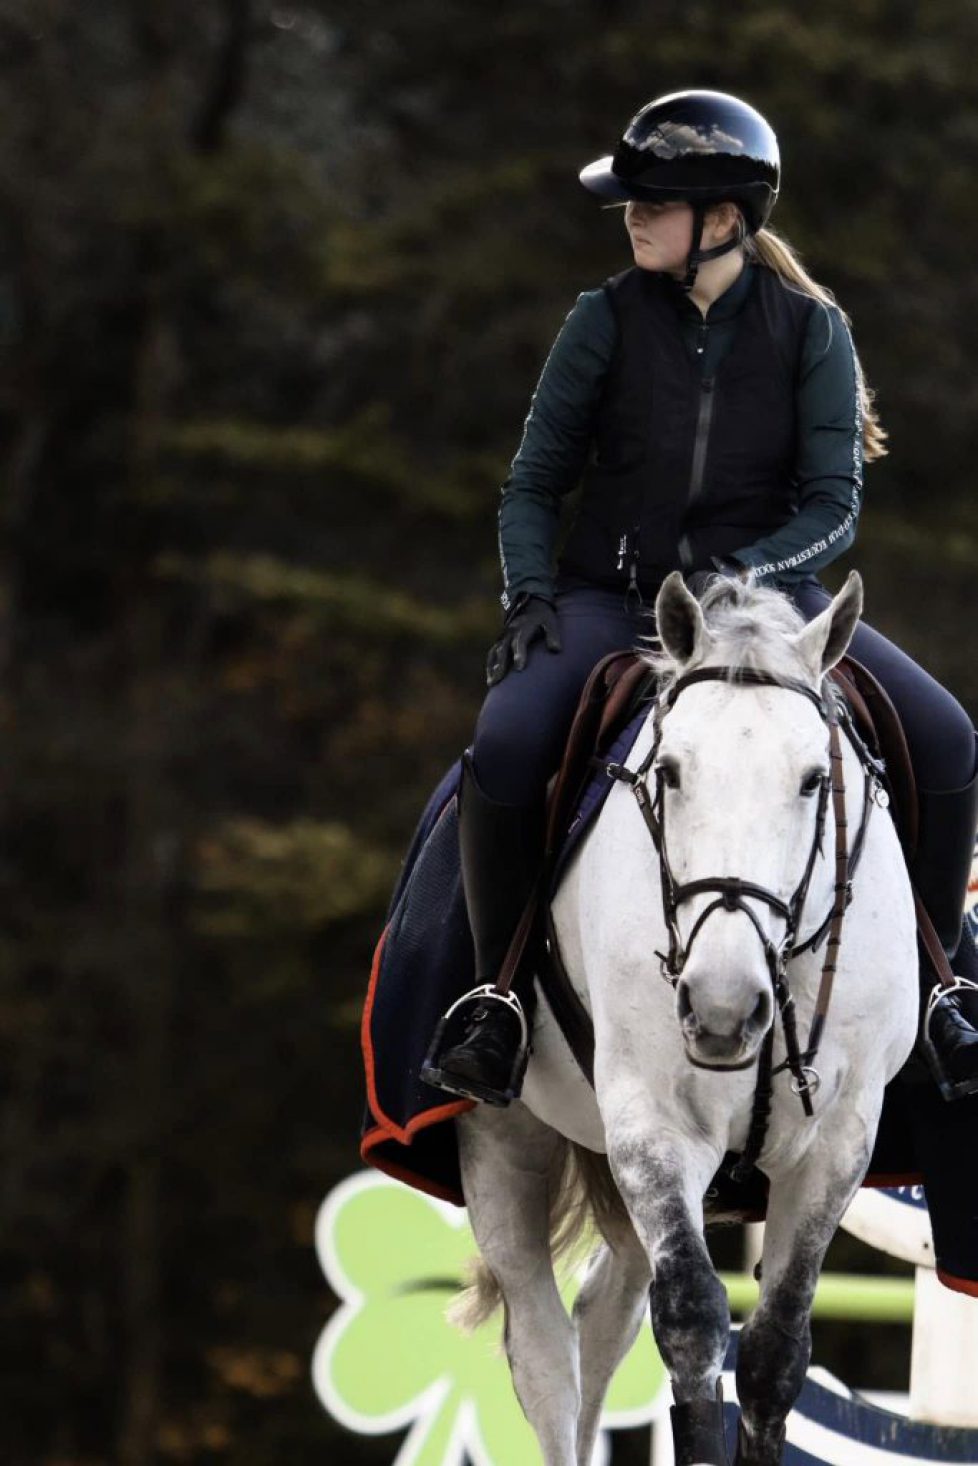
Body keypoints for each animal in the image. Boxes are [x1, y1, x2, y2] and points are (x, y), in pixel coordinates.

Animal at [454, 571, 920, 1466]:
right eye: (668, 772)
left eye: (813, 780)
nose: (722, 1008)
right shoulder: (653, 1123)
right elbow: (697, 1324)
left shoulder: (838, 1141)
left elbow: (774, 1353)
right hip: (505, 1142)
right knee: (546, 1356)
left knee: (604, 1320)